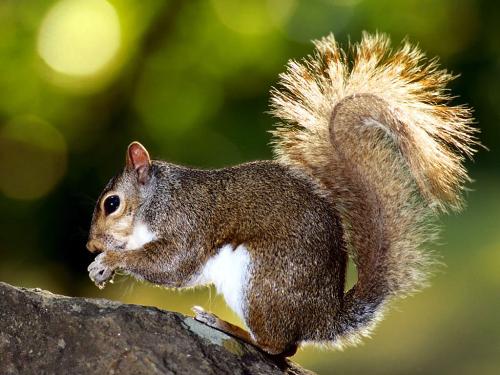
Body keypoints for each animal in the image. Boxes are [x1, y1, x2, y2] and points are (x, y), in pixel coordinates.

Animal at [88, 33, 478, 358]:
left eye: (112, 203)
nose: (91, 246)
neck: (157, 199)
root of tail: (322, 316)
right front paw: (100, 267)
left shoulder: (187, 222)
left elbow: (173, 264)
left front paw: (110, 260)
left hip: (262, 280)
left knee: (277, 347)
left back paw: (225, 325)